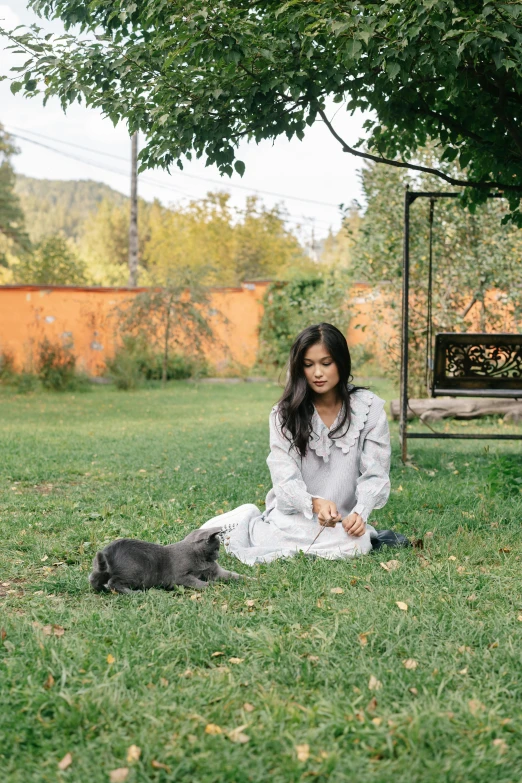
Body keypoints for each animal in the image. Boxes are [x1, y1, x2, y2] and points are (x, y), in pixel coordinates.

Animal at [88, 528, 243, 596]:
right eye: (216, 548)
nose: (218, 555)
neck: (201, 559)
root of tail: (108, 550)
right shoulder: (180, 577)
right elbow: (195, 581)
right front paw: (210, 585)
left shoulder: (215, 572)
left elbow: (233, 575)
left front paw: (247, 579)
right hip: (134, 572)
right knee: (113, 583)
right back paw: (134, 593)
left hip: (101, 570)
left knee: (94, 579)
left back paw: (101, 589)